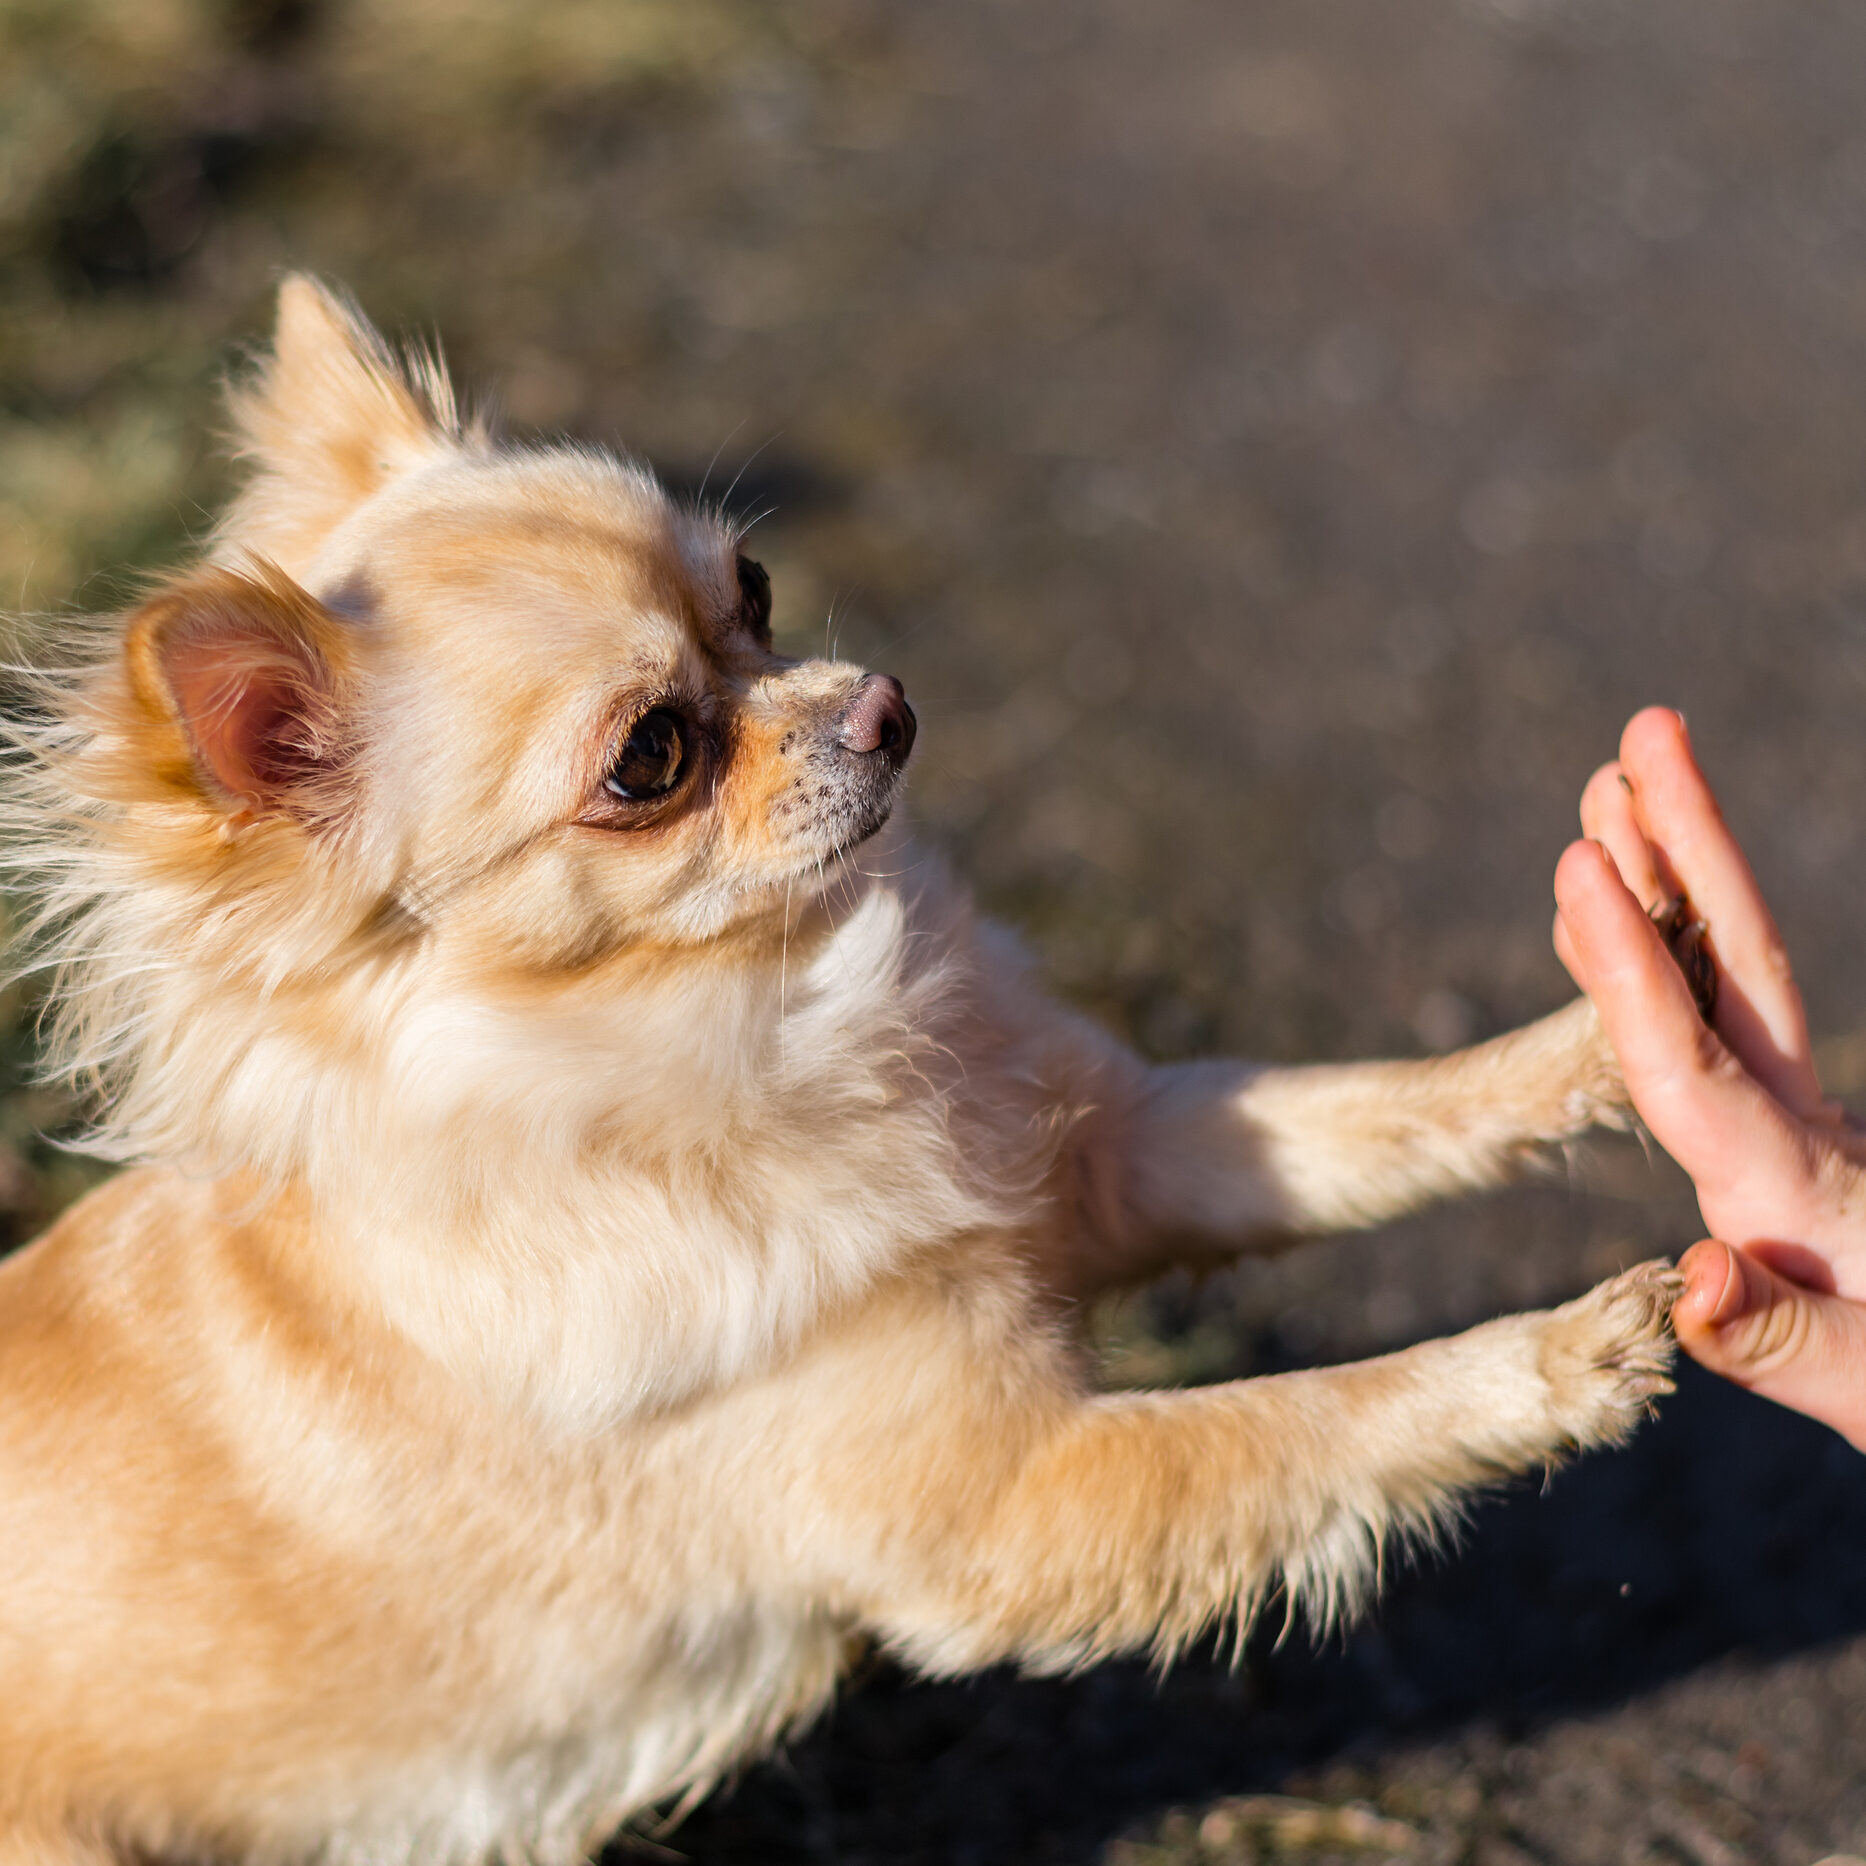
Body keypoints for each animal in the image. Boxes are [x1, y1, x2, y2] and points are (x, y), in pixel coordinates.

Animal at [0, 279, 1679, 1866]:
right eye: (650, 756)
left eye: (750, 587)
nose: (884, 702)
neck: (777, 1019)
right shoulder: (1011, 1508)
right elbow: (1314, 1416)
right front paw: (1555, 1357)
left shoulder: (1123, 1152)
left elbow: (1385, 1107)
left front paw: (1622, 1019)